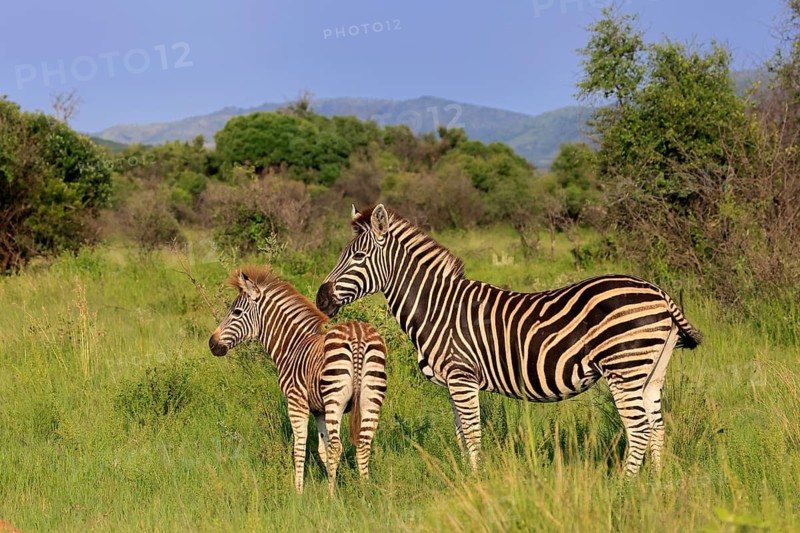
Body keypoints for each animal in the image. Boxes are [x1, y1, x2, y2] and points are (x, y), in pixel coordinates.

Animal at [209, 265, 388, 494]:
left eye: (236, 312)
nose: (212, 344)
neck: (293, 345)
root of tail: (357, 335)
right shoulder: (319, 410)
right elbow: (322, 449)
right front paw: (329, 481)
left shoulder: (296, 403)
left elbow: (300, 448)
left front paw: (299, 492)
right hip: (371, 396)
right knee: (363, 444)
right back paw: (366, 493)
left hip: (336, 399)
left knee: (338, 446)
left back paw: (331, 496)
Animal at [316, 204, 703, 475]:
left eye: (358, 257)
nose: (320, 299)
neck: (437, 307)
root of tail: (659, 292)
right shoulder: (453, 382)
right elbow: (461, 435)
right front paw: (467, 484)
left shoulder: (462, 375)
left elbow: (473, 434)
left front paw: (477, 483)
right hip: (651, 372)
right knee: (657, 427)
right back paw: (655, 486)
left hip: (624, 367)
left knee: (638, 430)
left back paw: (625, 487)